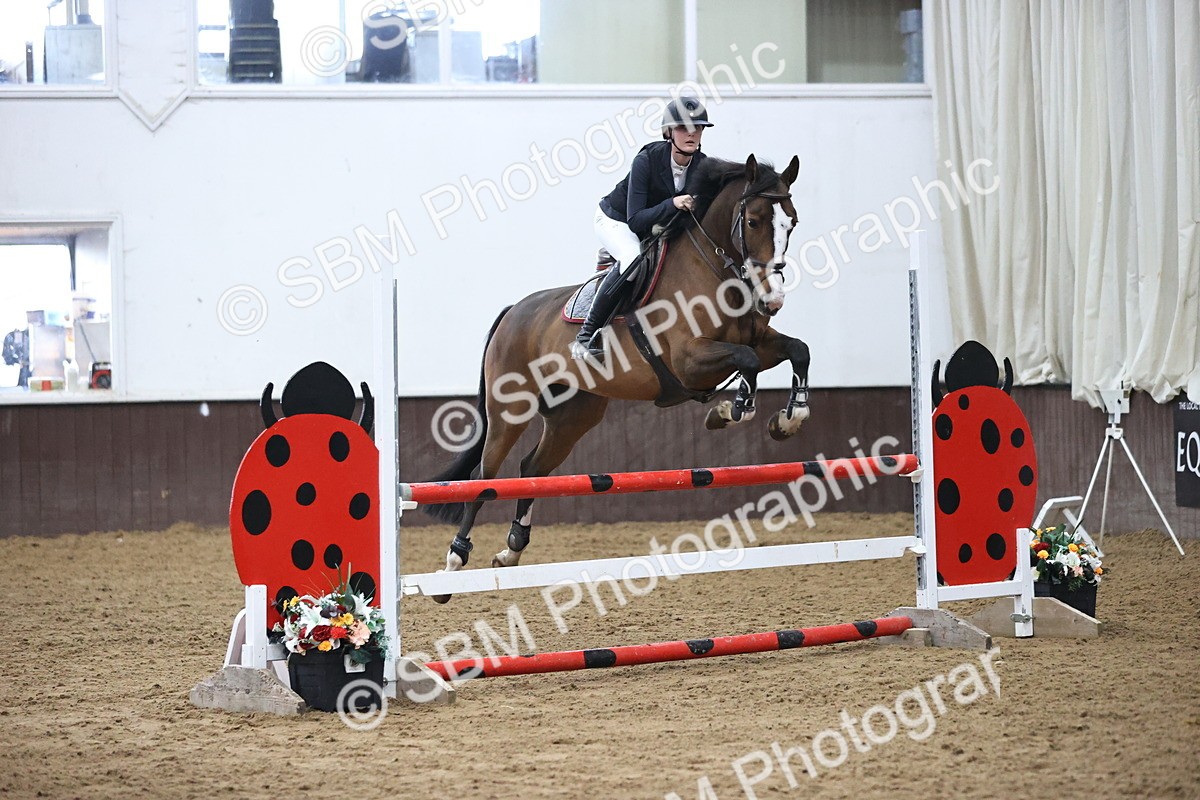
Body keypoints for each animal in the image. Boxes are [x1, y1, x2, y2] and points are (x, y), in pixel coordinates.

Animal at [424, 154, 811, 597]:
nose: (773, 299)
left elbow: (796, 350)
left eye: (792, 222)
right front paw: (731, 410)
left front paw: (787, 420)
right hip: (509, 410)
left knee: (532, 469)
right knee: (483, 479)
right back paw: (454, 564)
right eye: (753, 221)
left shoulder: (759, 341)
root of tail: (513, 312)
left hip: (574, 415)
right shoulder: (688, 360)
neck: (714, 270)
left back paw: (511, 551)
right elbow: (745, 361)